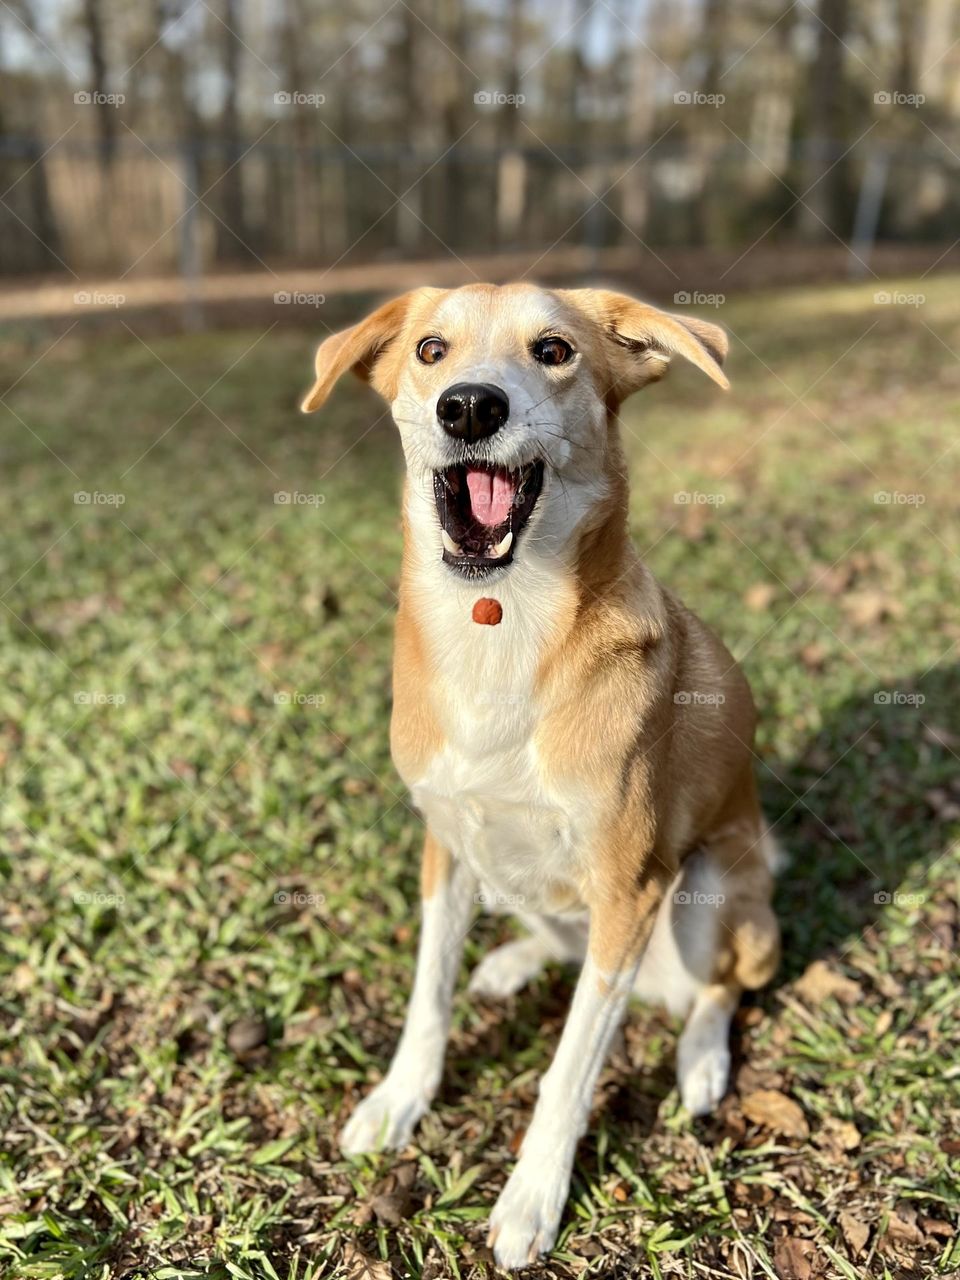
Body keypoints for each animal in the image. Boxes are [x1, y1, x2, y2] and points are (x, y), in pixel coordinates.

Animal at [300, 285, 783, 1264]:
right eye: (432, 349)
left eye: (554, 349)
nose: (469, 407)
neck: (500, 619)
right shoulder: (446, 844)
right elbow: (428, 995)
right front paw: (398, 1100)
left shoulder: (631, 890)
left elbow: (568, 1070)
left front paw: (532, 1198)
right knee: (553, 935)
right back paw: (513, 962)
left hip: (711, 895)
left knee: (720, 987)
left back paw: (701, 1059)